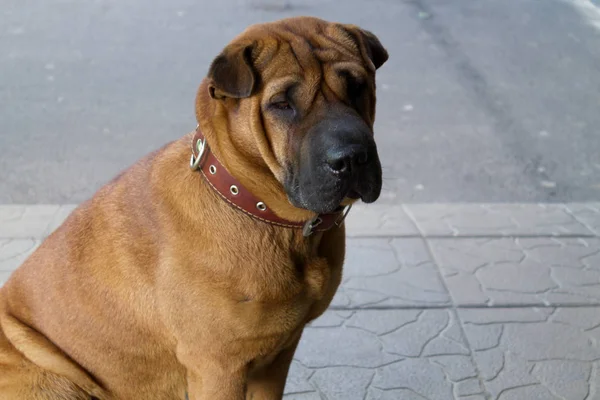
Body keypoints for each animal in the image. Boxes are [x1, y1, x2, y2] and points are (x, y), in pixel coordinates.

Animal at [0, 16, 386, 400]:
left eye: (357, 86)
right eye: (281, 104)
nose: (352, 157)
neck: (256, 206)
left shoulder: (278, 357)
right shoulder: (218, 366)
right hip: (52, 380)